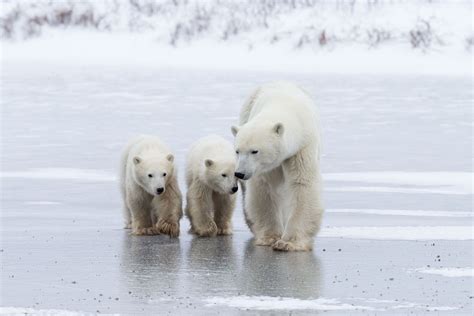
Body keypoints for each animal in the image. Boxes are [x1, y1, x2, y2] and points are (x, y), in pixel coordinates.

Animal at [231, 81, 324, 252]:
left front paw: (289, 242)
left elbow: (302, 183)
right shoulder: (265, 166)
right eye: (237, 150)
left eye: (254, 151)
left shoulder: (303, 146)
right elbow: (264, 188)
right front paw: (270, 237)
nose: (240, 173)